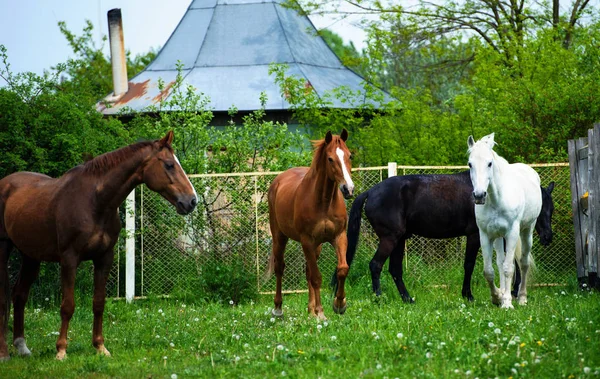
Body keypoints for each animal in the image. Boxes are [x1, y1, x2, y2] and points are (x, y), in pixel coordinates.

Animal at [0, 132, 197, 360]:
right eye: (169, 165)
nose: (192, 201)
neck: (95, 202)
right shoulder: (69, 259)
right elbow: (68, 305)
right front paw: (61, 350)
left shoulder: (104, 258)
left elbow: (99, 303)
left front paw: (100, 347)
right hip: (4, 248)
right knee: (5, 299)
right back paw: (4, 353)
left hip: (31, 255)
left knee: (19, 295)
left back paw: (21, 347)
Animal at [266, 129, 352, 320]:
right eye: (330, 159)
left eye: (350, 155)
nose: (348, 189)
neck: (324, 202)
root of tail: (278, 181)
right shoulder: (307, 240)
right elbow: (316, 277)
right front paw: (321, 312)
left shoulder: (339, 236)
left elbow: (342, 269)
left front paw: (339, 304)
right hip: (280, 237)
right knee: (280, 268)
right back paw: (278, 308)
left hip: (316, 246)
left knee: (307, 272)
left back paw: (310, 310)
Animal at [466, 134, 548, 308]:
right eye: (470, 164)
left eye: (489, 163)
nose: (479, 195)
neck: (497, 199)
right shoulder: (485, 235)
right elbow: (489, 271)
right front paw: (497, 297)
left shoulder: (512, 234)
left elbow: (509, 268)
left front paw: (507, 304)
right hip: (498, 237)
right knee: (500, 262)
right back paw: (504, 293)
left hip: (527, 232)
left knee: (523, 263)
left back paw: (522, 298)